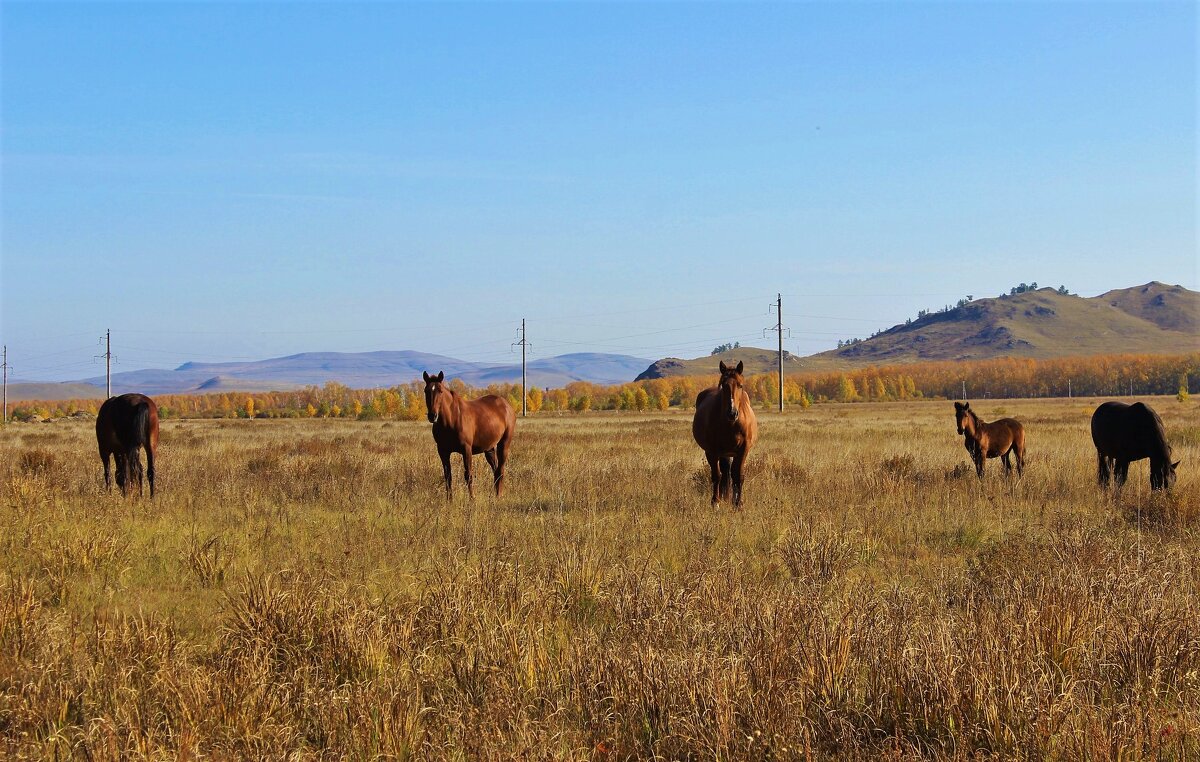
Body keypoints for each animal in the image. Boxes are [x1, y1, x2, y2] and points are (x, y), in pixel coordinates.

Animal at [422, 372, 516, 501]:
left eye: (440, 391)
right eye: (426, 391)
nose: (432, 416)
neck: (452, 419)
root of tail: (507, 406)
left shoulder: (466, 449)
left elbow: (468, 475)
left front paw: (472, 499)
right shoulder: (443, 451)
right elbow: (448, 476)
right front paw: (449, 500)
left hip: (504, 444)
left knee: (500, 470)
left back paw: (498, 496)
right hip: (489, 448)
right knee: (496, 470)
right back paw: (493, 495)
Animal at [696, 362, 758, 506]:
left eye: (740, 385)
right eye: (724, 385)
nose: (732, 413)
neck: (731, 424)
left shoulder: (743, 450)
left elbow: (738, 476)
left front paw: (738, 504)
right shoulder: (711, 451)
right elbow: (716, 476)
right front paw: (715, 502)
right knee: (724, 473)